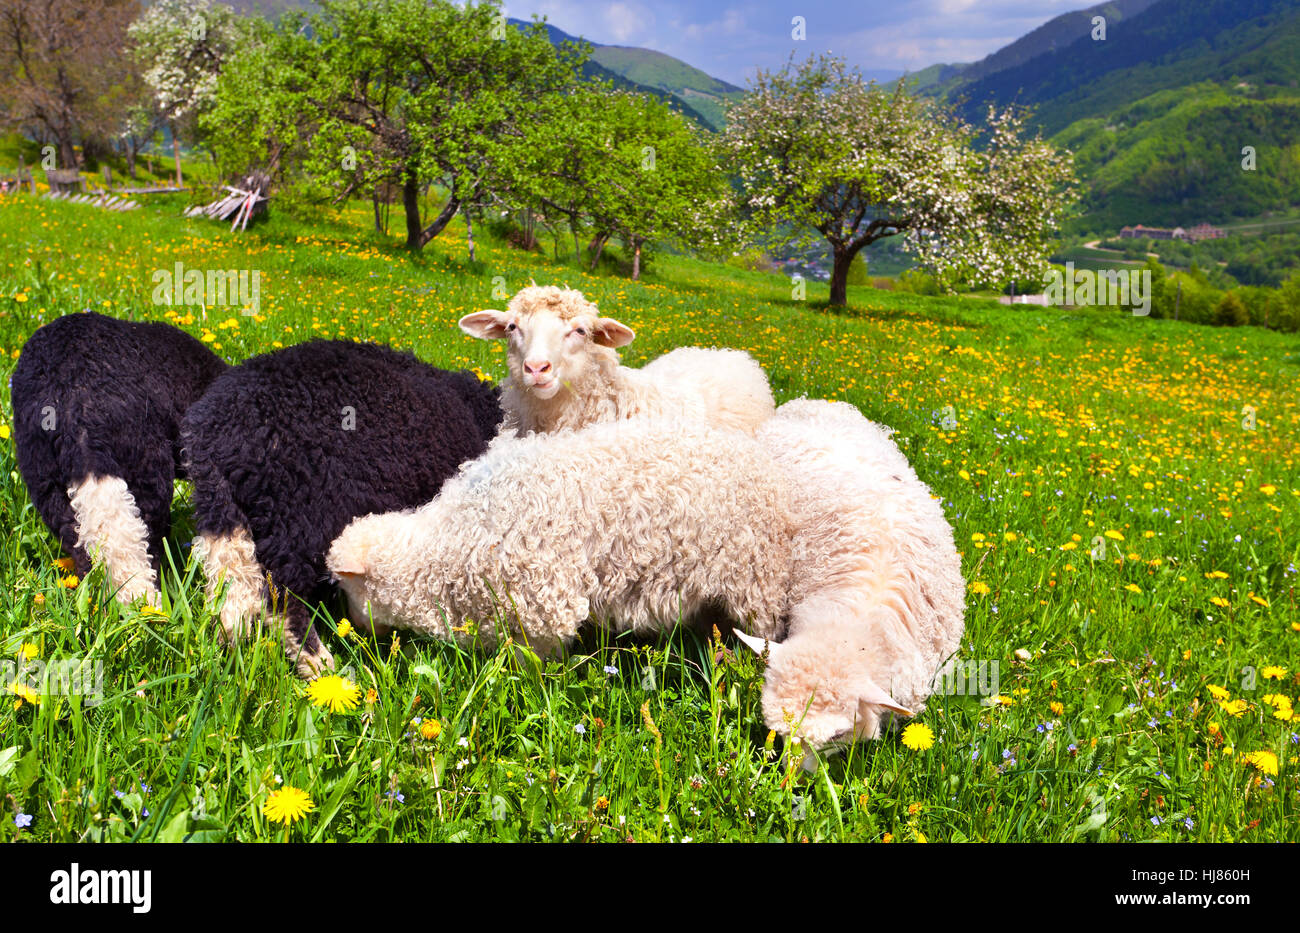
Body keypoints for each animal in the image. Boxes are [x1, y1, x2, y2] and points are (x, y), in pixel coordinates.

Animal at [180, 340, 501, 678]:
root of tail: (218, 433)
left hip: (224, 514)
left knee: (230, 589)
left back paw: (228, 655)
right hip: (298, 517)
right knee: (284, 599)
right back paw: (318, 664)